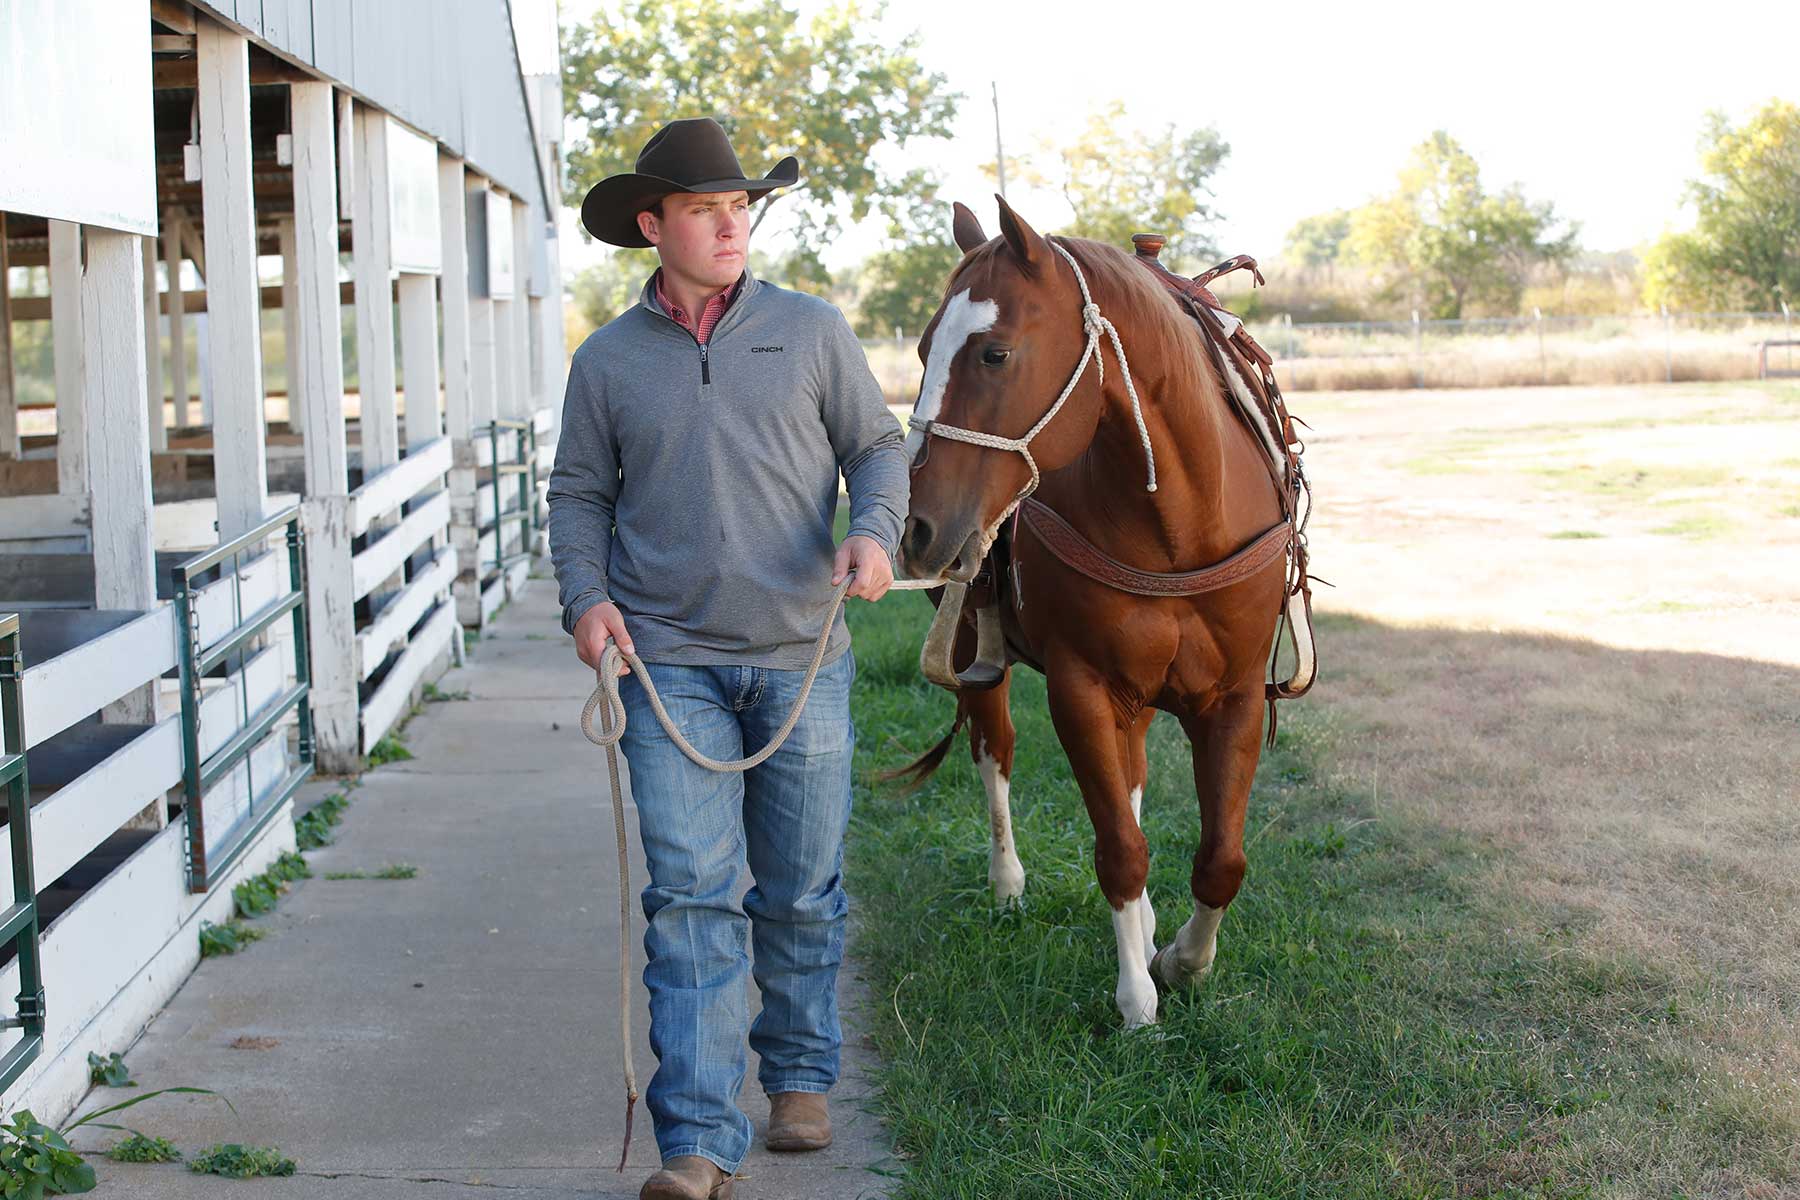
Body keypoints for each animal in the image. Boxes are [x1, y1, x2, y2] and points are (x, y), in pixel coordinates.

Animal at [891, 196, 1312, 1029]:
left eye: (993, 353)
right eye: (922, 349)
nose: (917, 529)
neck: (1179, 525)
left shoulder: (1237, 697)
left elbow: (1221, 857)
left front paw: (1183, 959)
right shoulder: (1080, 689)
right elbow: (1119, 846)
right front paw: (1138, 1001)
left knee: (1135, 771)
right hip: (982, 653)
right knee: (995, 752)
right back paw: (1008, 883)